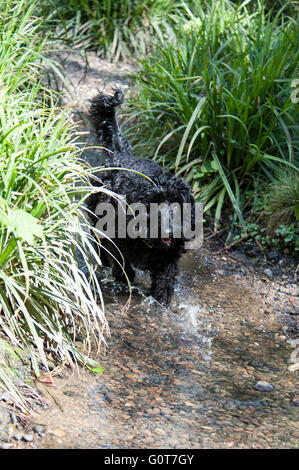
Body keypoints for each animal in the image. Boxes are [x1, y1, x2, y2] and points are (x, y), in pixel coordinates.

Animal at [85, 89, 196, 306]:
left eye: (177, 203)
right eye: (155, 203)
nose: (170, 231)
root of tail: (121, 155)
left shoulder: (168, 258)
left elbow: (165, 279)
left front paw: (161, 298)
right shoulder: (118, 241)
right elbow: (122, 264)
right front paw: (123, 278)